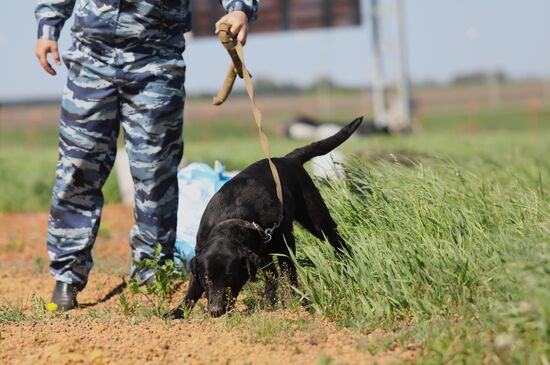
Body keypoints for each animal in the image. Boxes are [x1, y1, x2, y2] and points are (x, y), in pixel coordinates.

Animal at [180, 117, 362, 316]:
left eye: (230, 277)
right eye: (207, 279)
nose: (216, 311)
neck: (232, 216)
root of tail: (287, 158)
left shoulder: (285, 243)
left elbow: (288, 273)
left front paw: (292, 302)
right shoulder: (200, 254)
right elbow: (191, 290)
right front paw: (176, 313)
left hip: (317, 220)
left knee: (337, 243)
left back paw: (349, 267)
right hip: (264, 250)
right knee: (272, 273)